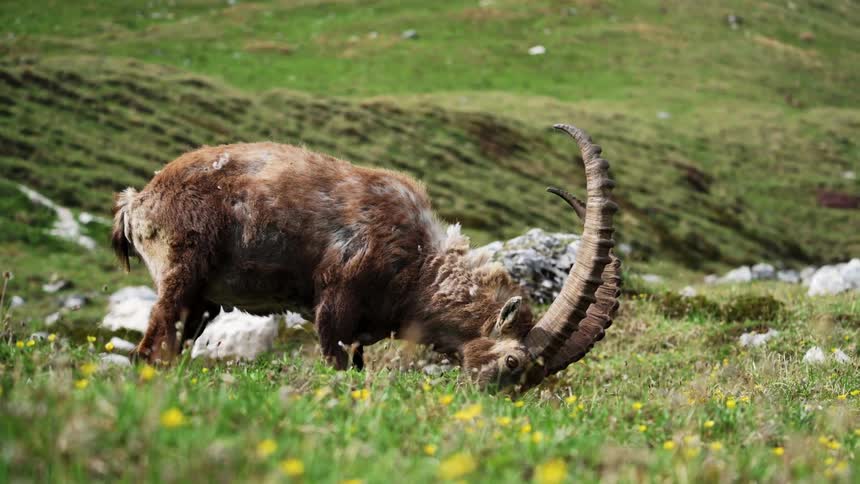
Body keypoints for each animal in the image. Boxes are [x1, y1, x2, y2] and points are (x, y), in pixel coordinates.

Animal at [111, 124, 620, 392]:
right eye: (514, 362)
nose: (491, 399)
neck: (419, 265)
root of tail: (138, 201)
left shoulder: (362, 329)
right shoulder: (335, 302)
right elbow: (335, 358)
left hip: (203, 300)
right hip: (182, 271)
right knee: (150, 348)